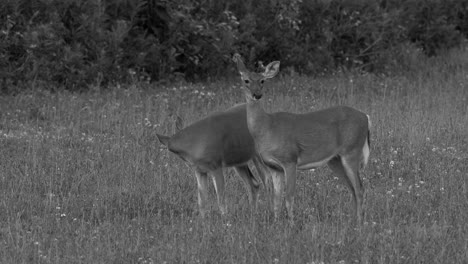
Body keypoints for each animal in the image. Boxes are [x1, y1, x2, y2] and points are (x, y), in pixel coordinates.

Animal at [232, 53, 372, 223]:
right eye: (246, 80)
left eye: (262, 80)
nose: (257, 95)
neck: (267, 127)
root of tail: (366, 118)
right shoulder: (274, 167)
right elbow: (276, 199)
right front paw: (276, 223)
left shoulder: (290, 159)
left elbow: (289, 198)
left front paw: (291, 224)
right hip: (335, 160)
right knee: (352, 188)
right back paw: (352, 221)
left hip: (351, 150)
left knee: (360, 189)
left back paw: (359, 223)